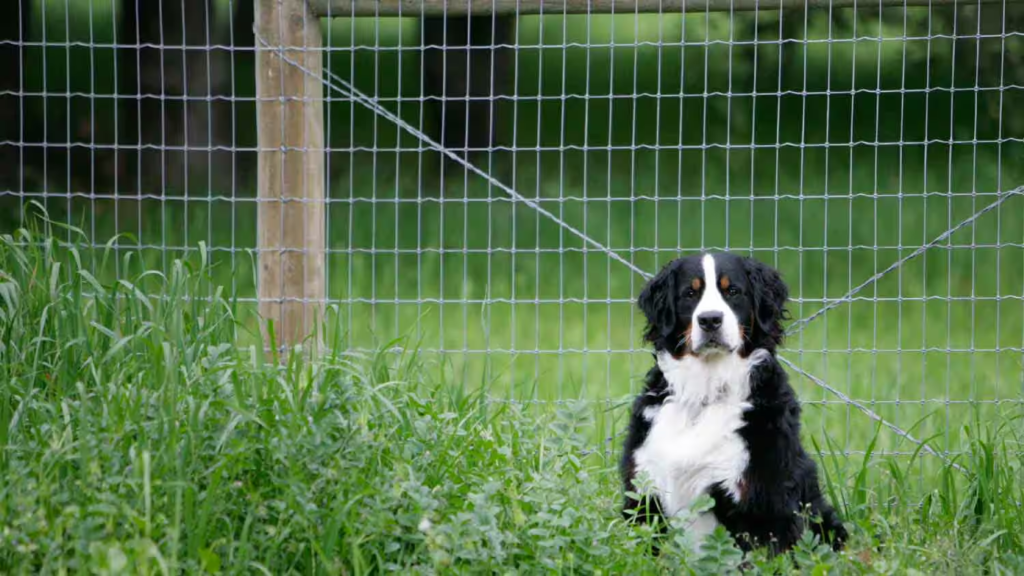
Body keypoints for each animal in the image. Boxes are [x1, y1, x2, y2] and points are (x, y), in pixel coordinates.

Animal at [614, 250, 847, 553]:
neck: (705, 393)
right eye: (690, 293)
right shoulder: (645, 493)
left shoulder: (764, 501)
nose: (710, 319)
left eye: (733, 291)